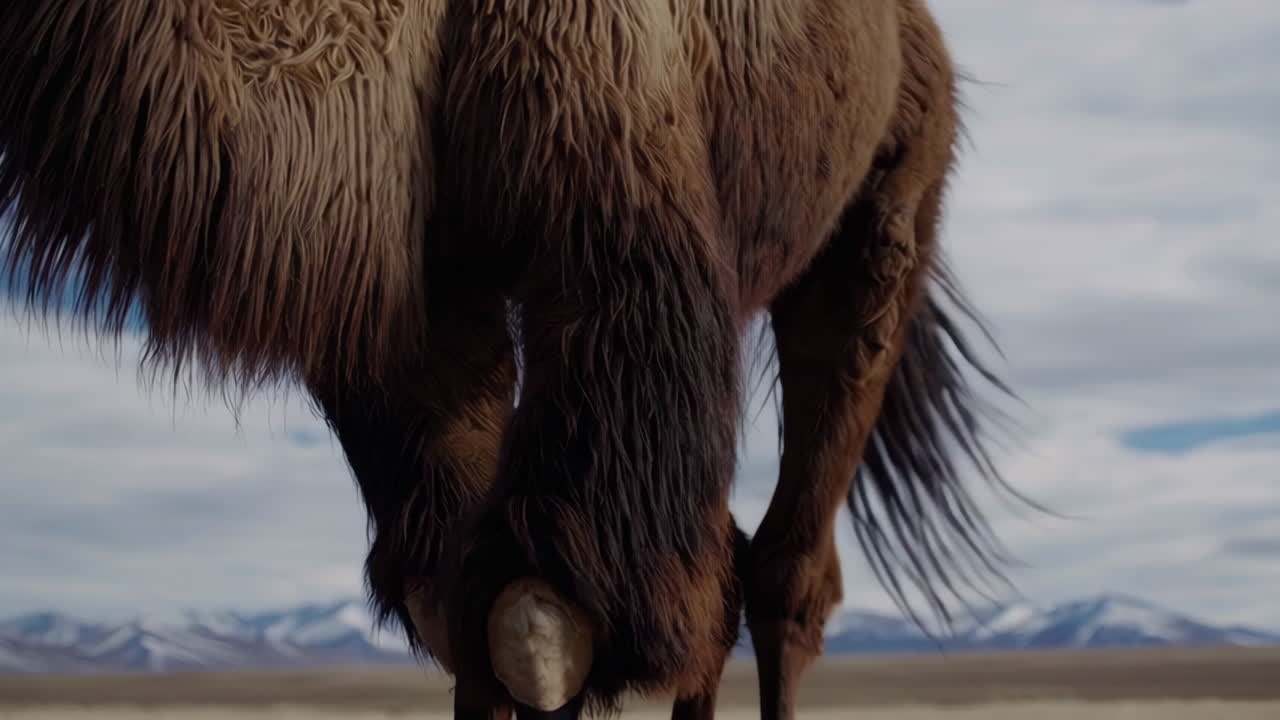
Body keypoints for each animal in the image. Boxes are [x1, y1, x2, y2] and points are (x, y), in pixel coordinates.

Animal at [0, 1, 1024, 718]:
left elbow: (539, 622)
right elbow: (457, 604)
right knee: (723, 563)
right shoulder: (423, 291)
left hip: (887, 210)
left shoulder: (613, 186)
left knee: (789, 563)